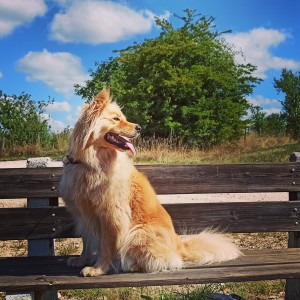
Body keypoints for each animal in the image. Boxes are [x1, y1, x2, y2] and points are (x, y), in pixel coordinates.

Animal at [60, 88, 241, 276]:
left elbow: (106, 246)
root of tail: (179, 245)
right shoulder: (83, 214)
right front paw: (82, 259)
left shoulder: (111, 216)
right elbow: (86, 240)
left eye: (123, 117)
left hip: (138, 232)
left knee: (166, 260)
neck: (90, 163)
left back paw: (132, 265)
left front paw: (98, 268)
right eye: (116, 118)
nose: (139, 127)